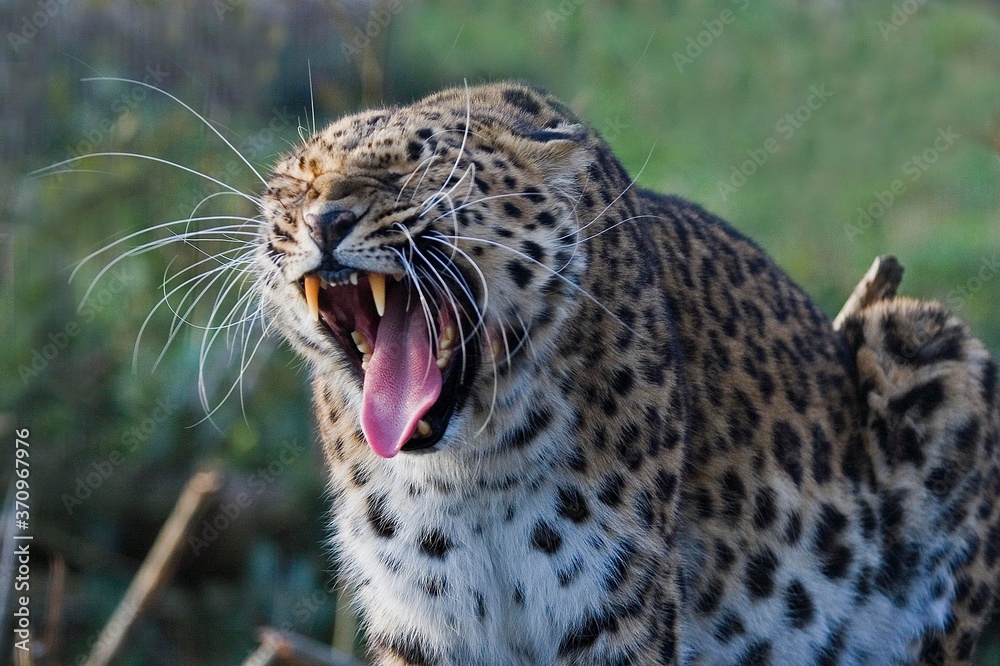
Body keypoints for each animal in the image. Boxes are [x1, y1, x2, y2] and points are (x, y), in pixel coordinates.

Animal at [256, 82, 1000, 665]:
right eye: (296, 185)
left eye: (420, 171)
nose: (325, 220)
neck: (470, 470)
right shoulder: (420, 623)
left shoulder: (617, 609)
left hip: (926, 345)